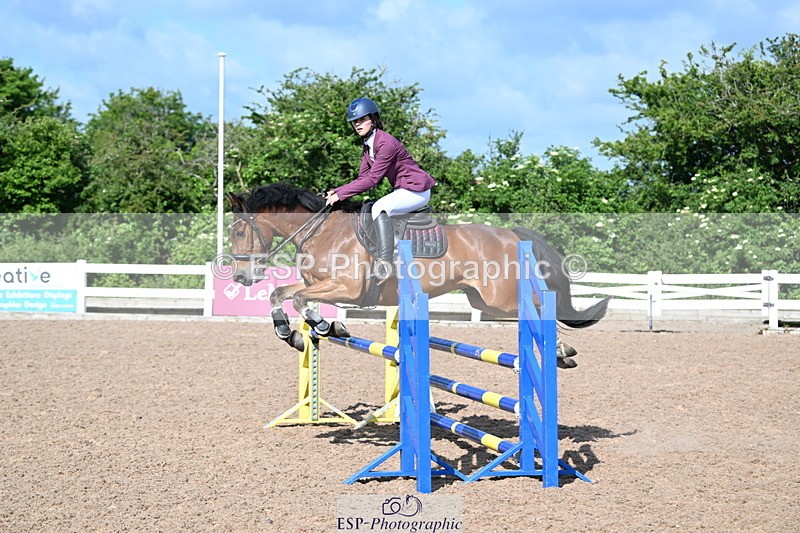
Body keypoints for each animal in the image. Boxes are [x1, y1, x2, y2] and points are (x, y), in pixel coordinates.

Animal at [225, 182, 610, 366]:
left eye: (239, 231)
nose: (242, 278)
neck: (321, 232)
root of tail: (510, 234)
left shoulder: (346, 289)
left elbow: (298, 299)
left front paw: (316, 327)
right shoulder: (319, 286)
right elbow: (283, 295)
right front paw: (304, 331)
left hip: (499, 298)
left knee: (541, 307)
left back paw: (561, 351)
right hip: (483, 300)